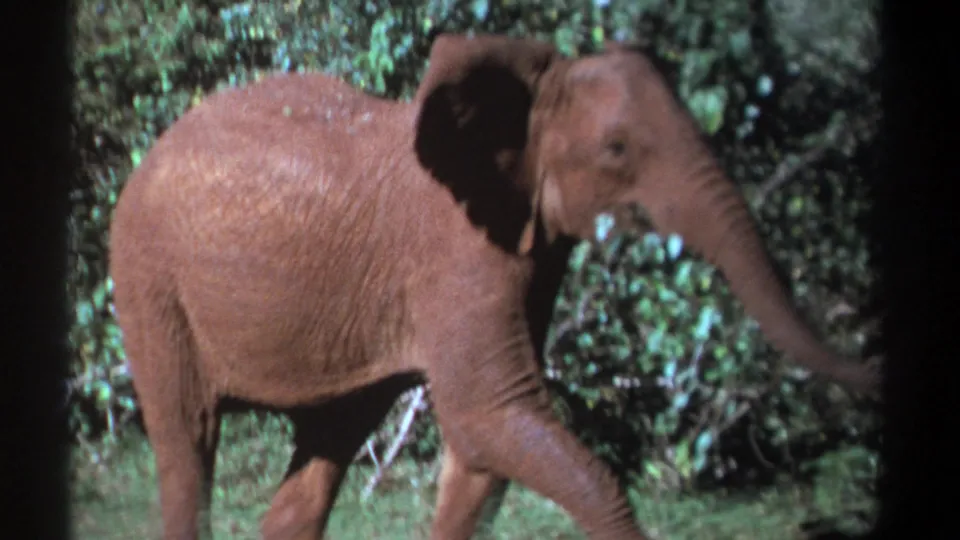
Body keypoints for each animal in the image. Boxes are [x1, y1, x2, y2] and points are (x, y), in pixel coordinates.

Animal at [108, 32, 880, 540]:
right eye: (617, 150)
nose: (870, 358)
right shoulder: (461, 253)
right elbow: (493, 418)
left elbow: (479, 457)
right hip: (148, 279)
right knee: (187, 441)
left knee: (324, 447)